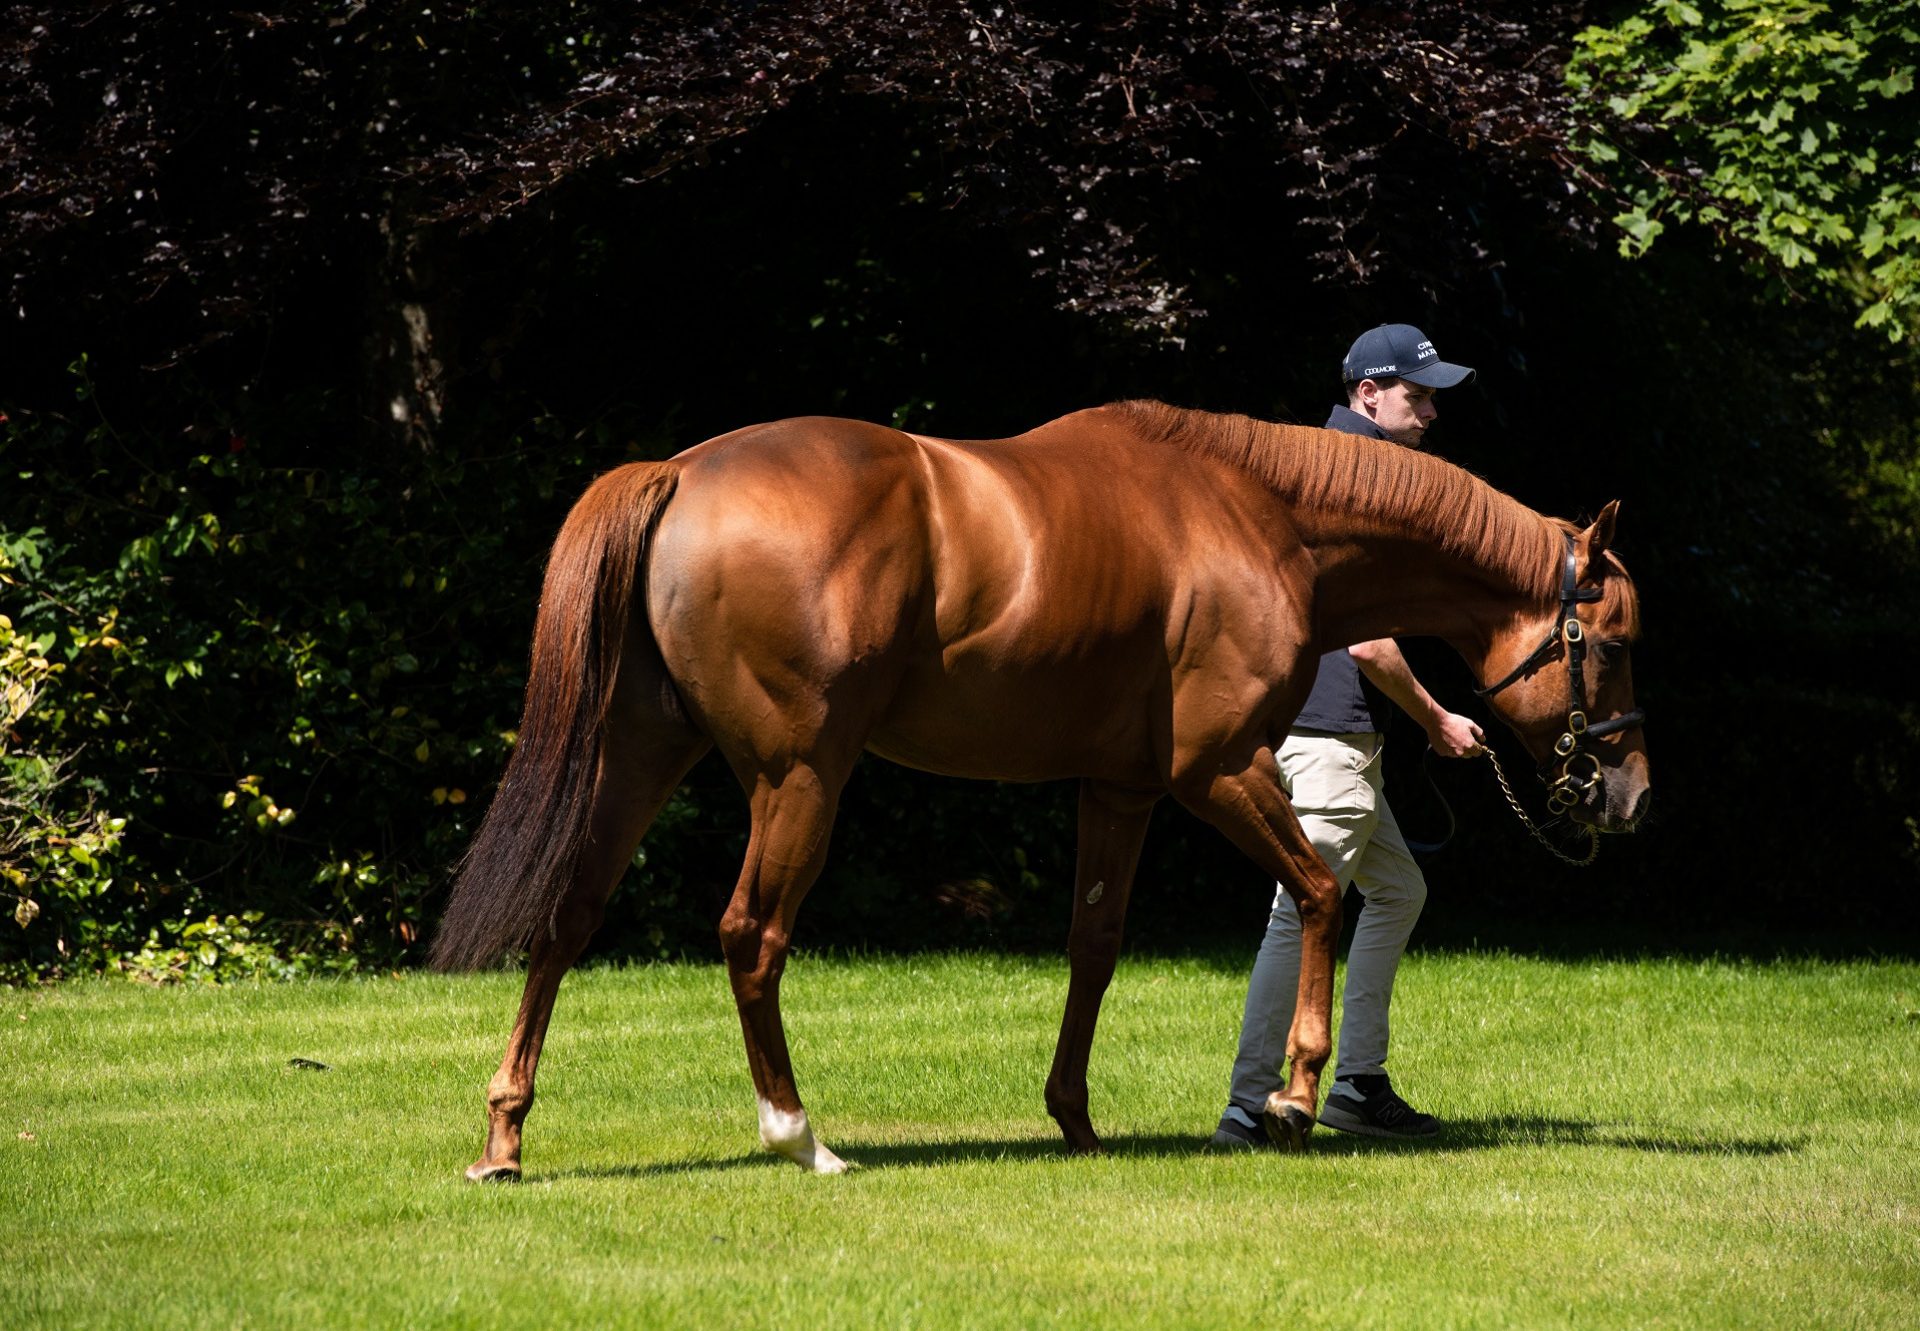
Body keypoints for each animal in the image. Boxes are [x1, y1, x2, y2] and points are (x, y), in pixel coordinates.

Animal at [435, 399, 1651, 1175]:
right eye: (1614, 641)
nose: (1627, 793)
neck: (1261, 515)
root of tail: (683, 470)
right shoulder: (1217, 770)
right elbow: (1317, 895)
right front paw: (1294, 1094)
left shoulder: (1119, 791)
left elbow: (1093, 946)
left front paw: (1075, 1118)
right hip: (799, 777)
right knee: (751, 933)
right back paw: (799, 1132)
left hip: (640, 757)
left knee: (568, 917)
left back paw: (504, 1137)